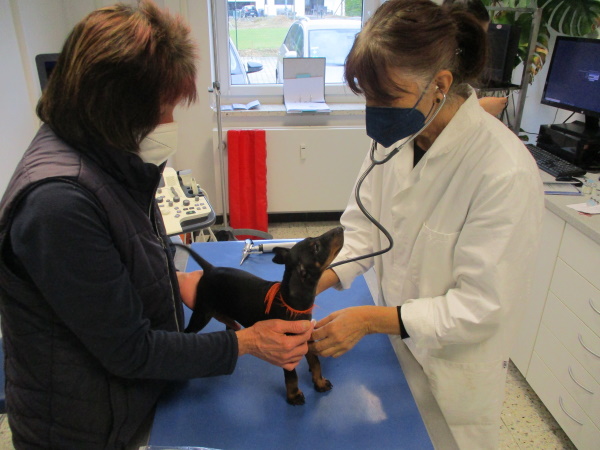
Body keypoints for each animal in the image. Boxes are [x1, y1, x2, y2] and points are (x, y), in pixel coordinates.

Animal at [173, 226, 344, 405]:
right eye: (316, 247)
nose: (340, 228)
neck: (290, 302)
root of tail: (211, 269)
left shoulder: (306, 336)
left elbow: (315, 362)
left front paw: (319, 382)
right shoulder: (287, 348)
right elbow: (292, 375)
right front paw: (294, 395)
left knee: (228, 322)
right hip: (202, 313)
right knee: (188, 331)